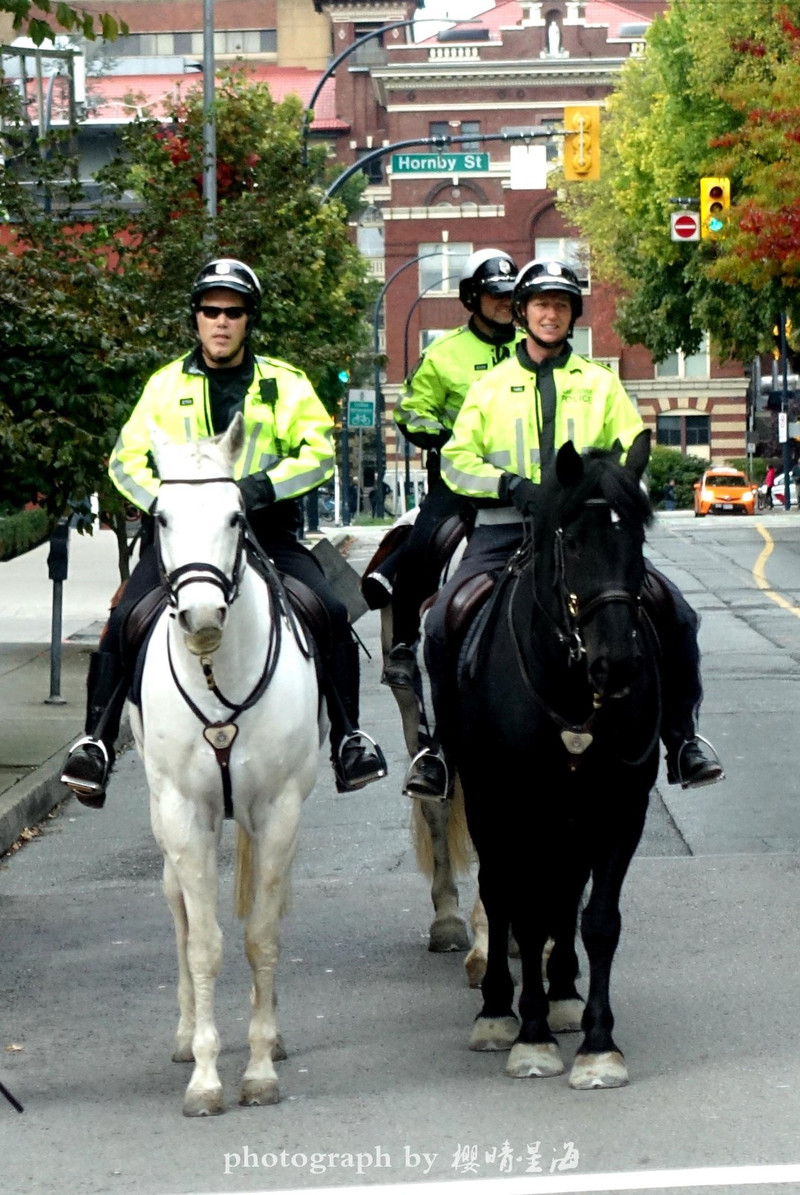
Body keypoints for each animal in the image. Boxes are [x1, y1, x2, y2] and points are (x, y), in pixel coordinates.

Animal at [129, 415, 320, 1113]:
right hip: (162, 816)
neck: (218, 672)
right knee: (179, 912)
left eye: (238, 515)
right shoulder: (186, 813)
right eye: (160, 516)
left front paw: (260, 1066)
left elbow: (262, 933)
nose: (203, 615)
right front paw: (207, 1076)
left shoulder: (280, 808)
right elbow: (204, 943)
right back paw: (187, 1035)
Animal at [452, 432, 660, 1094]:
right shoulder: (515, 807)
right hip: (490, 806)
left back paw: (565, 994)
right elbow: (523, 915)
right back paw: (498, 1009)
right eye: (572, 541)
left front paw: (598, 1044)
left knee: (564, 892)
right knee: (499, 894)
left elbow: (598, 920)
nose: (618, 663)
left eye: (637, 539)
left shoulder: (622, 808)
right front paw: (532, 1038)